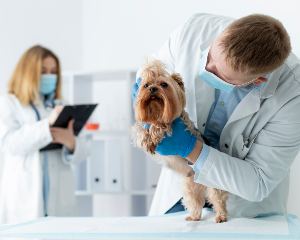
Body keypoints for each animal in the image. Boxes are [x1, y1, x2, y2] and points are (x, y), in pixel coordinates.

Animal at [131, 58, 227, 223]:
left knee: (218, 197)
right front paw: (147, 141)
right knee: (195, 200)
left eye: (164, 85)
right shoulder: (141, 124)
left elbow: (162, 125)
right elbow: (140, 129)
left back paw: (221, 216)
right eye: (146, 85)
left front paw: (155, 133)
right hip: (190, 186)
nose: (152, 89)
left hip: (213, 182)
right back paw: (193, 217)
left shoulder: (177, 124)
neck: (156, 111)